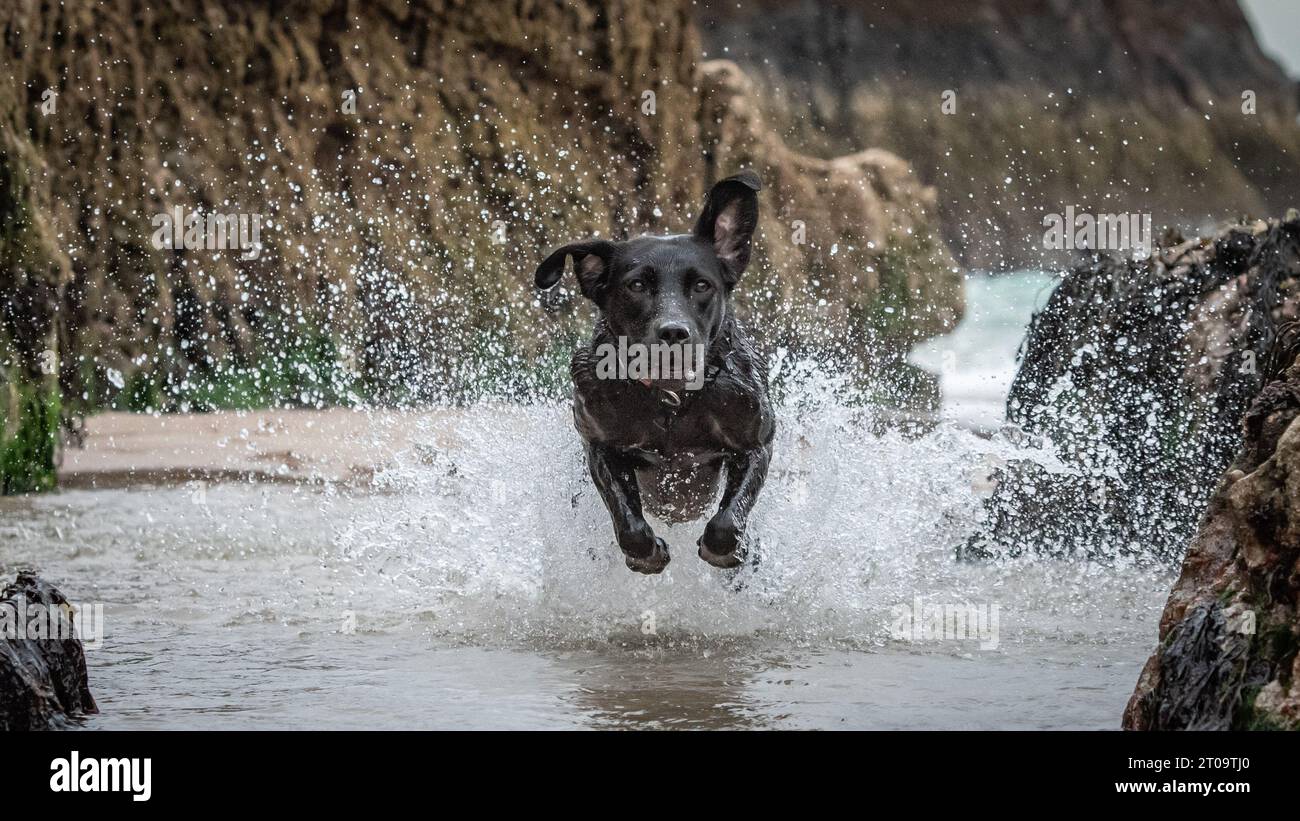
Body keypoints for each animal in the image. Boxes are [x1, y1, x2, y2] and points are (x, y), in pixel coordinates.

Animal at [535, 170, 769, 574]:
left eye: (702, 284)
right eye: (637, 285)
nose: (674, 332)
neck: (671, 398)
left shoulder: (755, 441)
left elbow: (726, 521)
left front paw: (724, 549)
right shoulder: (601, 445)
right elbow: (627, 521)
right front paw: (646, 554)